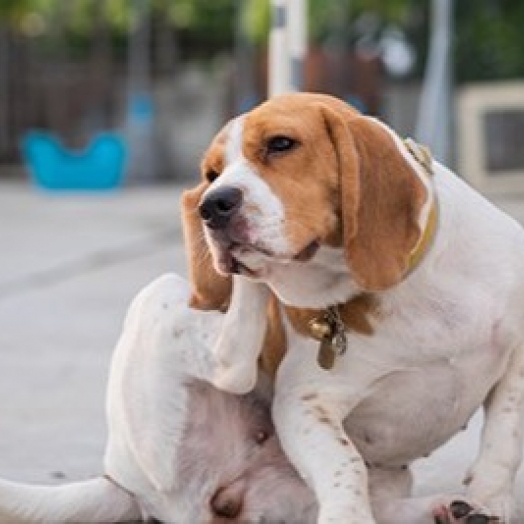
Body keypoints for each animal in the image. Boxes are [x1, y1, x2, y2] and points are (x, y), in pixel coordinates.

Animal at [182, 94, 524, 524]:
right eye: (211, 173)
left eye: (280, 143)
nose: (211, 205)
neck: (407, 288)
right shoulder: (306, 402)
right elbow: (344, 464)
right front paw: (347, 513)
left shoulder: (517, 358)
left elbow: (503, 437)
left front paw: (490, 498)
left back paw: (452, 509)